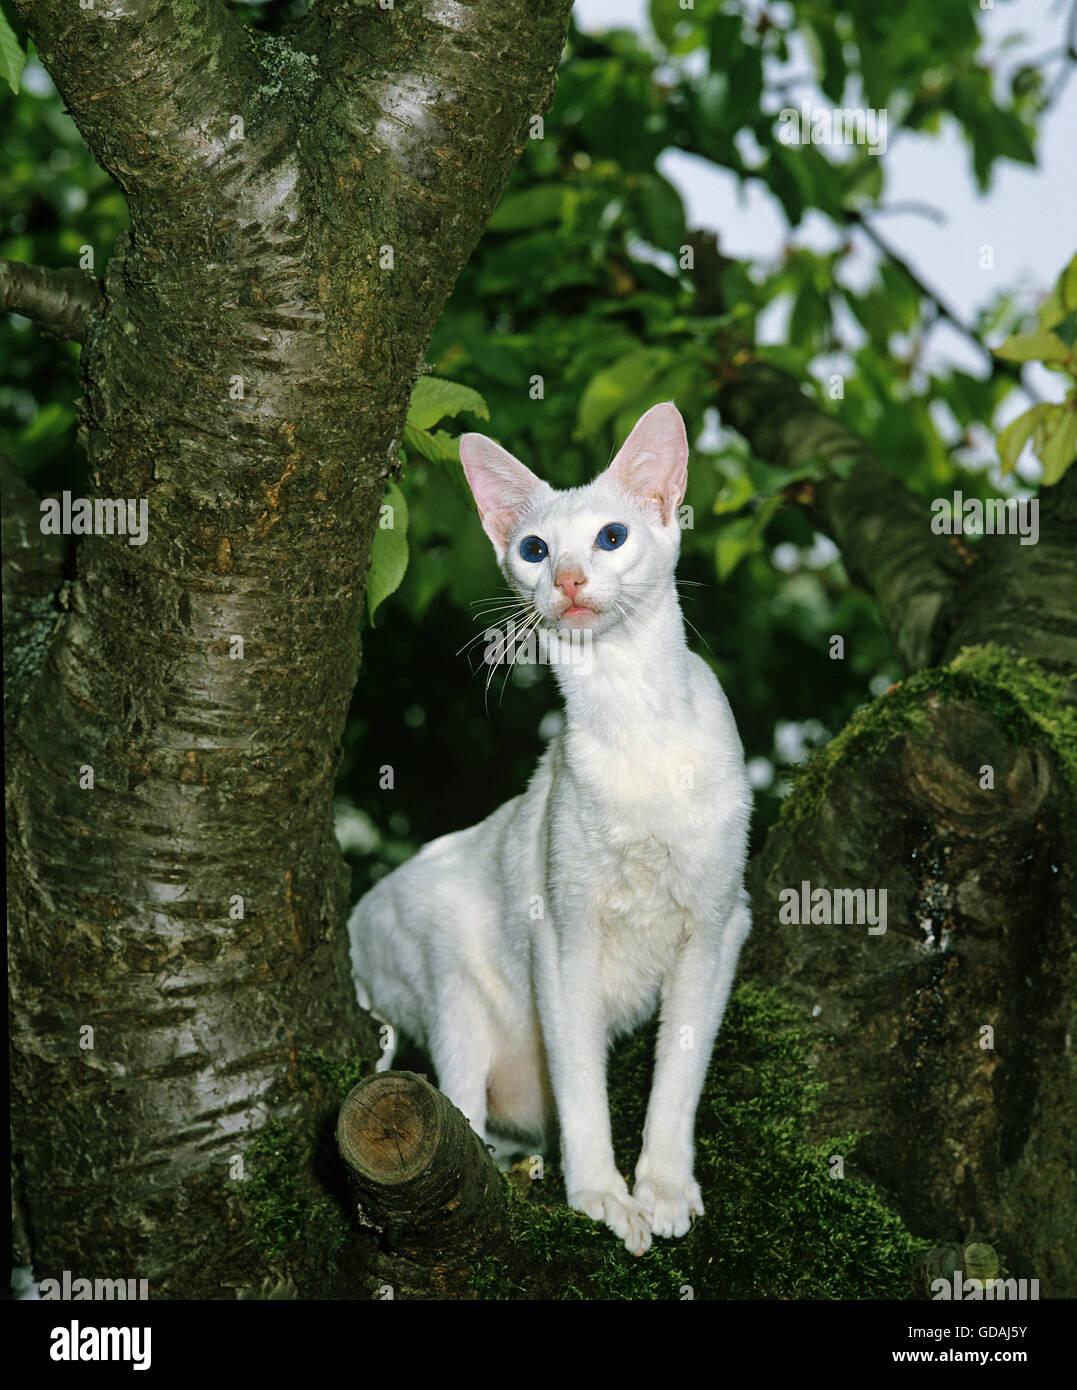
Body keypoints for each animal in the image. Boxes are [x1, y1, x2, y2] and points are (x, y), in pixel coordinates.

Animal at [350, 405, 755, 1262]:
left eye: (610, 536)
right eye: (535, 549)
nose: (567, 578)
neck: (632, 717)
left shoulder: (717, 927)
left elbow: (679, 1074)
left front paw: (664, 1190)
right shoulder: (562, 936)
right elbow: (581, 1087)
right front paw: (601, 1198)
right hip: (448, 986)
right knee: (462, 1109)